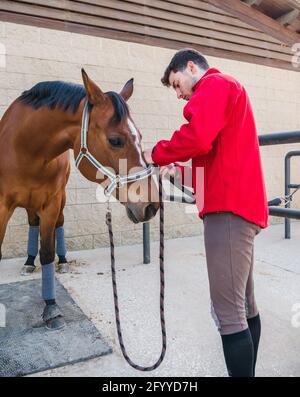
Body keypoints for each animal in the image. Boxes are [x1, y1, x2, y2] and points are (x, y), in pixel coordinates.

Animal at [0, 69, 159, 330]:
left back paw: (62, 261)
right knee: (33, 224)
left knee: (59, 225)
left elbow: (48, 251)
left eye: (140, 136)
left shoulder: (51, 203)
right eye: (116, 140)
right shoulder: (2, 206)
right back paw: (28, 262)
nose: (151, 205)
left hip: (59, 201)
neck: (25, 149)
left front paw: (51, 308)